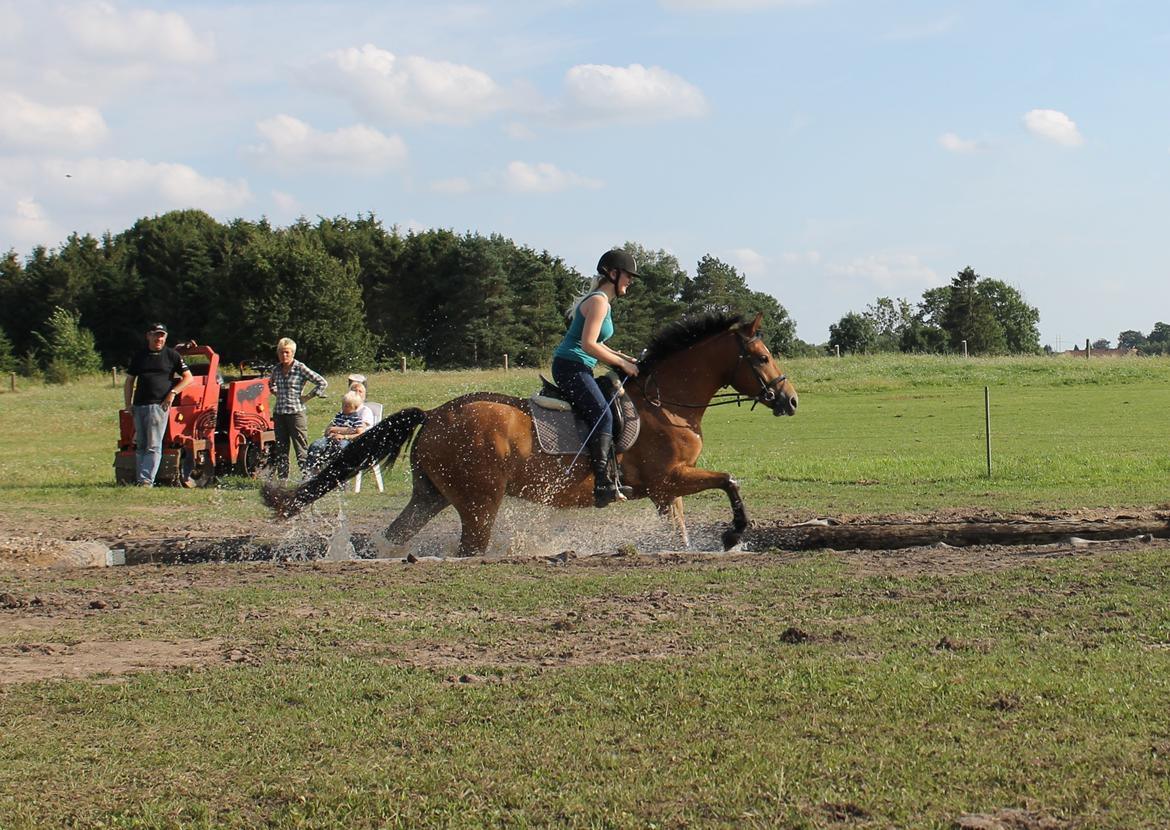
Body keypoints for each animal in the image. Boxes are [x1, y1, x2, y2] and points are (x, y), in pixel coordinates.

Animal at [262, 311, 800, 557]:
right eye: (763, 356)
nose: (791, 400)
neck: (666, 403)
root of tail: (434, 414)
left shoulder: (668, 491)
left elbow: (682, 530)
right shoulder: (669, 479)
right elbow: (730, 480)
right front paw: (733, 533)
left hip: (431, 494)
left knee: (397, 532)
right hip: (479, 501)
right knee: (469, 547)